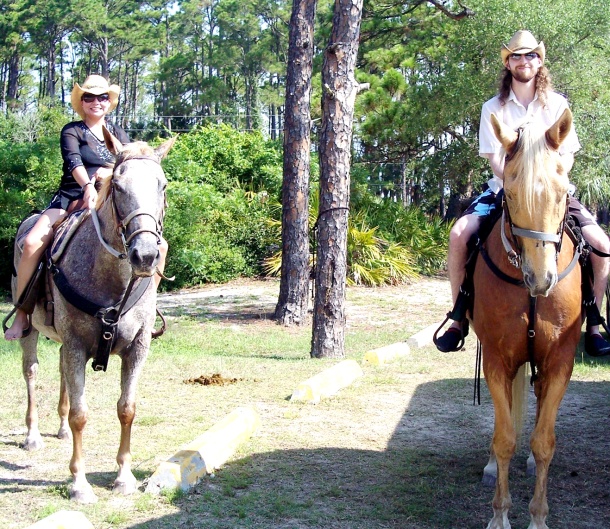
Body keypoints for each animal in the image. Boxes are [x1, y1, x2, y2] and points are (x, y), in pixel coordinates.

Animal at [11, 129, 176, 504]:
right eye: (117, 185)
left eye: (162, 185)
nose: (146, 255)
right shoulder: (75, 345)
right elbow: (80, 415)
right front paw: (79, 484)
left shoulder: (137, 348)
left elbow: (126, 408)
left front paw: (124, 477)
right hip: (30, 331)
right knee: (31, 372)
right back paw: (32, 435)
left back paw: (57, 429)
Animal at [470, 108, 580, 528]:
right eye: (511, 194)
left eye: (562, 192)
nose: (541, 279)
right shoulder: (498, 359)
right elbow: (504, 438)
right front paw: (500, 515)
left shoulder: (560, 361)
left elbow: (544, 441)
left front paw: (538, 517)